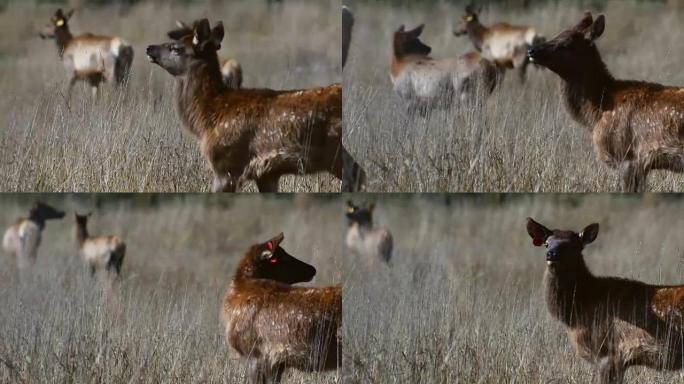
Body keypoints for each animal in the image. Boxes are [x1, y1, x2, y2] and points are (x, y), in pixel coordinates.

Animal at [147, 18, 366, 192]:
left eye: (176, 48)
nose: (149, 48)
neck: (208, 116)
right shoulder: (266, 174)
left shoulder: (227, 165)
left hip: (332, 150)